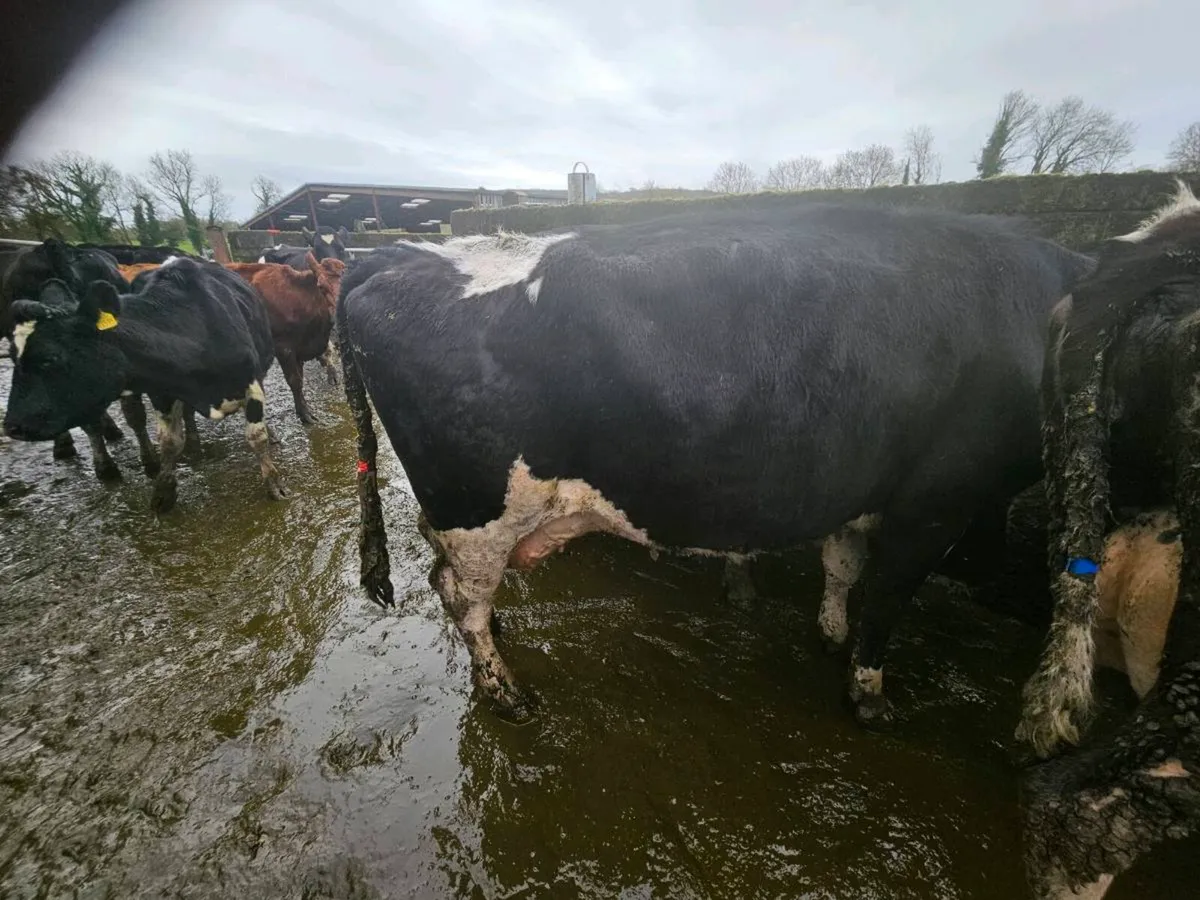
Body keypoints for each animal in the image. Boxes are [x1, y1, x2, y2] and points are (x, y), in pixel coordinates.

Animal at [3, 256, 286, 513]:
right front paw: (163, 492)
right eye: (13, 355)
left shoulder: (251, 382)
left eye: (49, 358)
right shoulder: (162, 392)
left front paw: (273, 483)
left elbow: (256, 436)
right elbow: (170, 442)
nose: (11, 426)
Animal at [225, 252, 346, 424]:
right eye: (321, 286)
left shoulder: (300, 349)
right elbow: (294, 381)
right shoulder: (283, 348)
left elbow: (300, 380)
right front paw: (305, 414)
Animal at [333, 202, 1094, 725]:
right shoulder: (938, 500)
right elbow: (886, 601)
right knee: (461, 593)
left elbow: (843, 567)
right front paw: (869, 695)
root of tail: (394, 257)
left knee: (447, 572)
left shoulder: (862, 488)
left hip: (463, 508)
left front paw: (830, 634)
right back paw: (506, 691)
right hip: (476, 505)